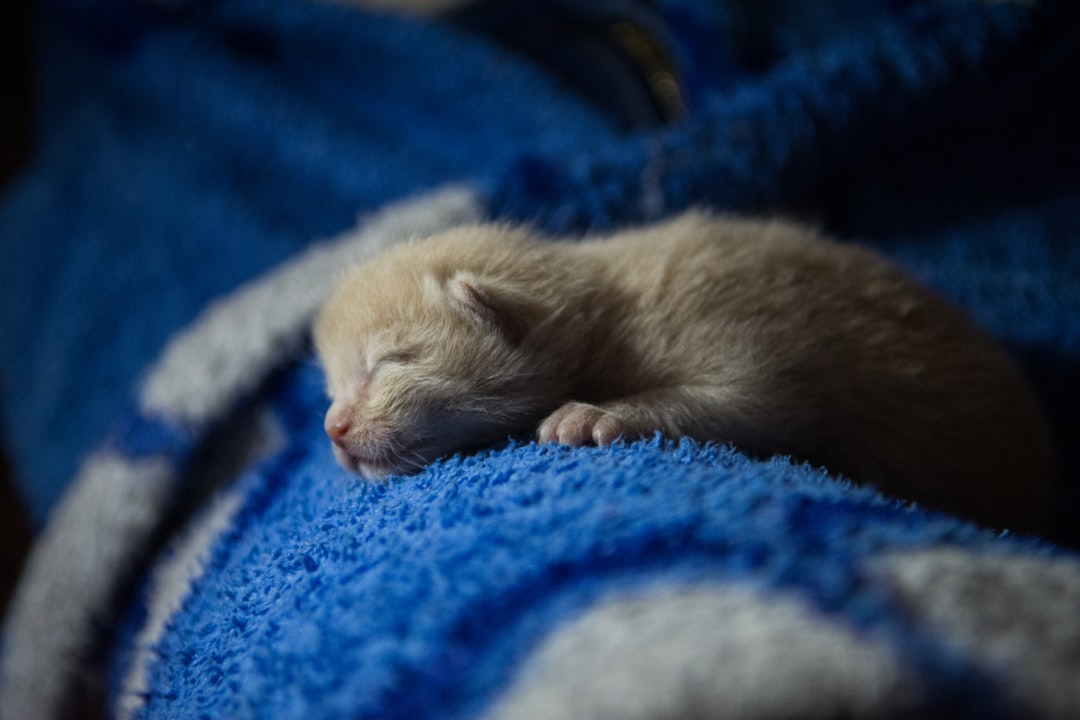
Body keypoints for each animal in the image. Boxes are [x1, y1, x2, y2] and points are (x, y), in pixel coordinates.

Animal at [313, 211, 1054, 533]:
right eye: (333, 386)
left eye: (390, 362)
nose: (333, 428)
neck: (607, 313)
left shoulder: (738, 331)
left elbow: (754, 403)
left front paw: (593, 415)